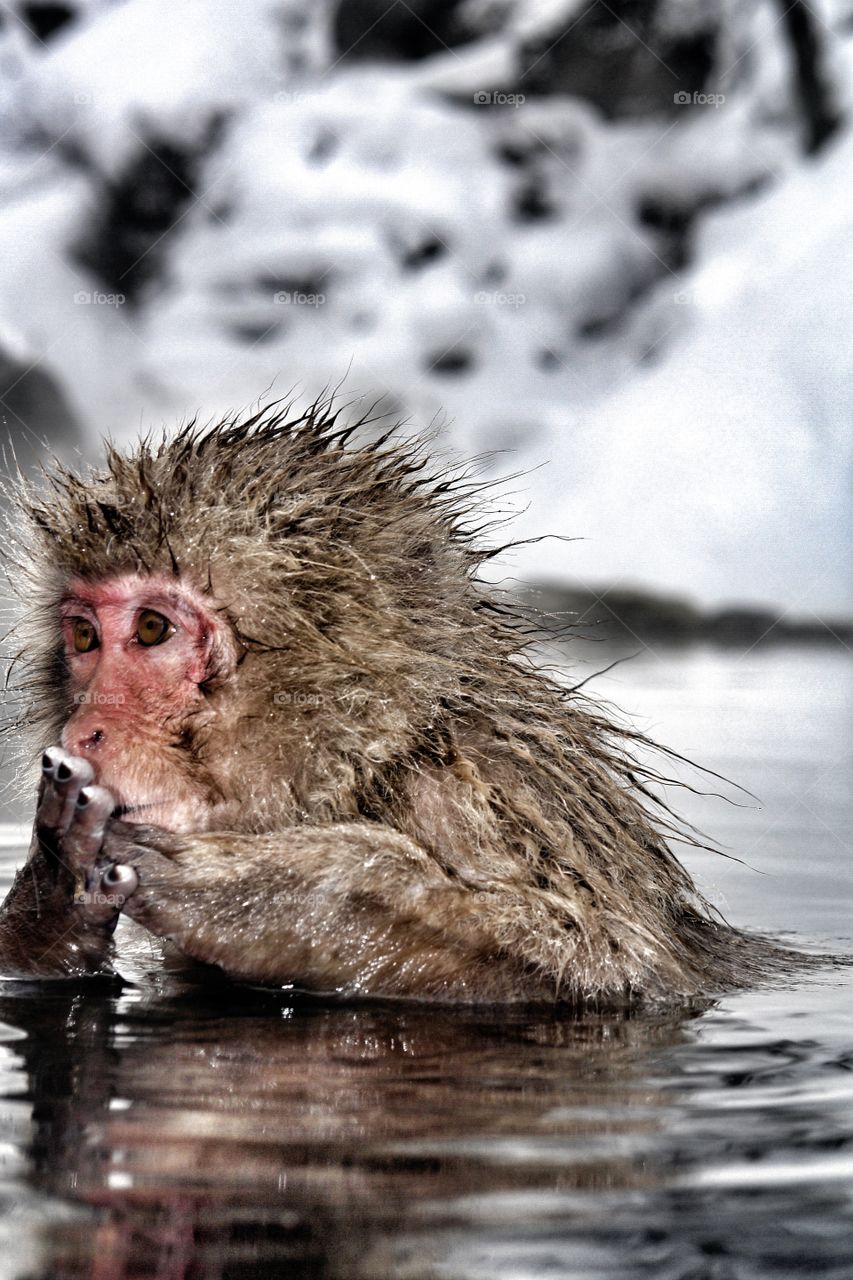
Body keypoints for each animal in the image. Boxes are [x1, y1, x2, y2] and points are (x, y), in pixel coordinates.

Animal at [0, 404, 783, 993]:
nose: (86, 729)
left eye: (152, 629)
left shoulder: (475, 798)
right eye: (84, 635)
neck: (370, 769)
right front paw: (52, 887)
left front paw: (286, 894)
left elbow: (614, 963)